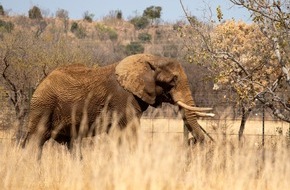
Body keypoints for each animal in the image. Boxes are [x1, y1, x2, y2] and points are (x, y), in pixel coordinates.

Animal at [21, 53, 214, 157]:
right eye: (173, 80)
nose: (192, 142)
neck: (151, 58)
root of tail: (40, 84)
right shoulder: (123, 99)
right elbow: (130, 133)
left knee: (72, 144)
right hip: (43, 105)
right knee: (35, 141)